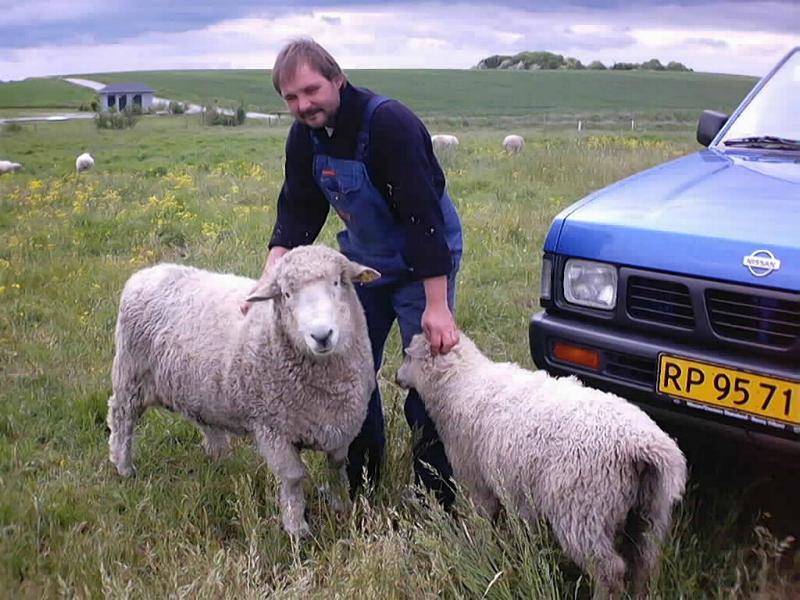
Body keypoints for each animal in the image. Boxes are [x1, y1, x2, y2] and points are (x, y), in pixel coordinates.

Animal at [108, 246, 382, 536]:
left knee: (204, 420)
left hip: (198, 385)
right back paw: (124, 466)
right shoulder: (272, 428)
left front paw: (342, 505)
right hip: (131, 374)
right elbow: (294, 477)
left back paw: (220, 456)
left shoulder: (342, 424)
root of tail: (146, 273)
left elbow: (338, 465)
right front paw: (296, 528)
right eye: (286, 294)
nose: (321, 335)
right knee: (121, 416)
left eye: (338, 282)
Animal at [396, 332, 684, 596]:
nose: (398, 377)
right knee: (644, 563)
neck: (461, 383)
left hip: (584, 510)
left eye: (408, 355)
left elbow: (485, 518)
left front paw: (480, 547)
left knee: (610, 570)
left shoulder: (478, 481)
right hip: (649, 512)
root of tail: (642, 446)